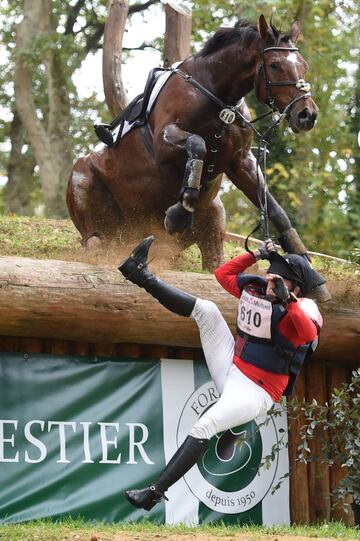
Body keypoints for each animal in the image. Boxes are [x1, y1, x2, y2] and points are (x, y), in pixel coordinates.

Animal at [66, 15, 316, 272]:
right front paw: (180, 213)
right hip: (87, 193)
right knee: (95, 241)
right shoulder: (164, 141)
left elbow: (273, 207)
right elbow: (198, 145)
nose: (307, 115)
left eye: (304, 65)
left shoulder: (240, 161)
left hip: (212, 227)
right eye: (275, 65)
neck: (218, 95)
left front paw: (300, 255)